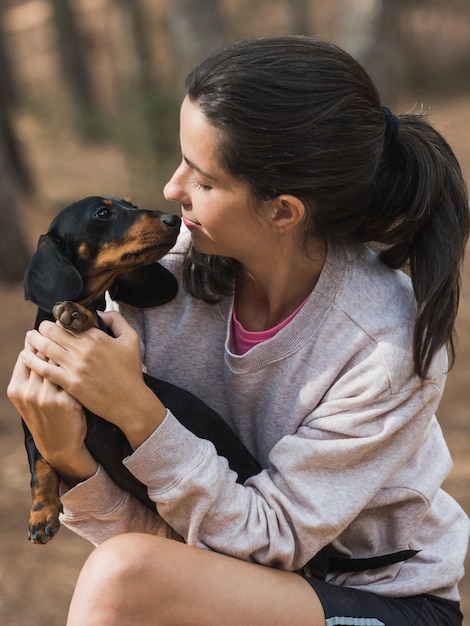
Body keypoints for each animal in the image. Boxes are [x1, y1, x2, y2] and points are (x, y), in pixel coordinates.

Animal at [21, 195, 260, 540]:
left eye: (130, 205)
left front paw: (80, 314)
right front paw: (41, 514)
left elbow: (102, 321)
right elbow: (40, 469)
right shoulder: (37, 430)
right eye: (102, 213)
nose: (174, 219)